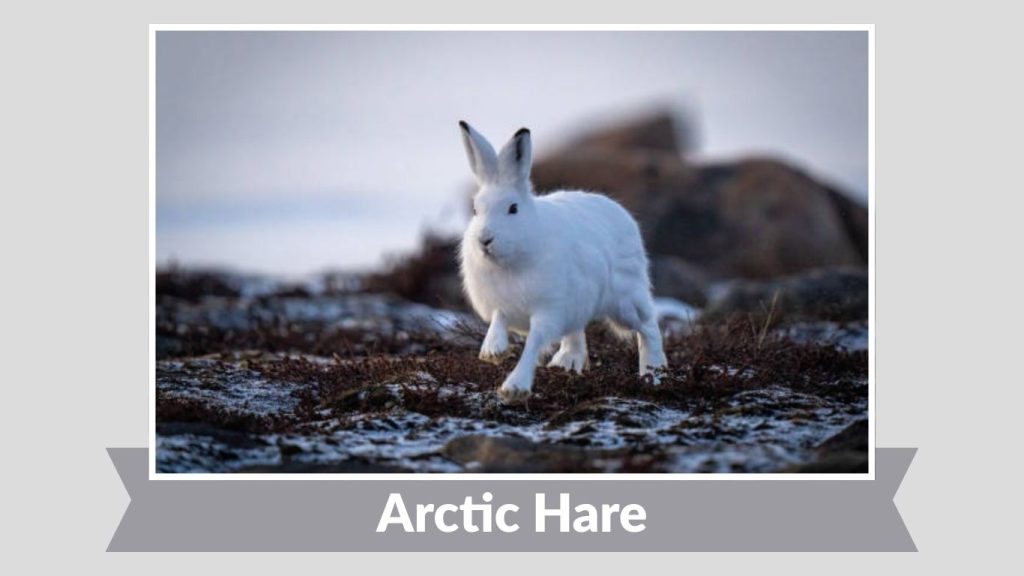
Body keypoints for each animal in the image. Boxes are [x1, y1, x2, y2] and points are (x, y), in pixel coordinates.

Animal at [457, 121, 667, 404]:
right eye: (475, 210)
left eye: (513, 209)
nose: (484, 240)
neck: (511, 259)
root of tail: (621, 213)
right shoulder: (501, 303)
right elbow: (498, 321)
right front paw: (493, 351)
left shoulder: (548, 310)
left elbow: (534, 342)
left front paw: (514, 388)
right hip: (580, 302)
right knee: (577, 330)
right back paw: (567, 362)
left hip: (625, 299)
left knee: (648, 327)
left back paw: (653, 374)